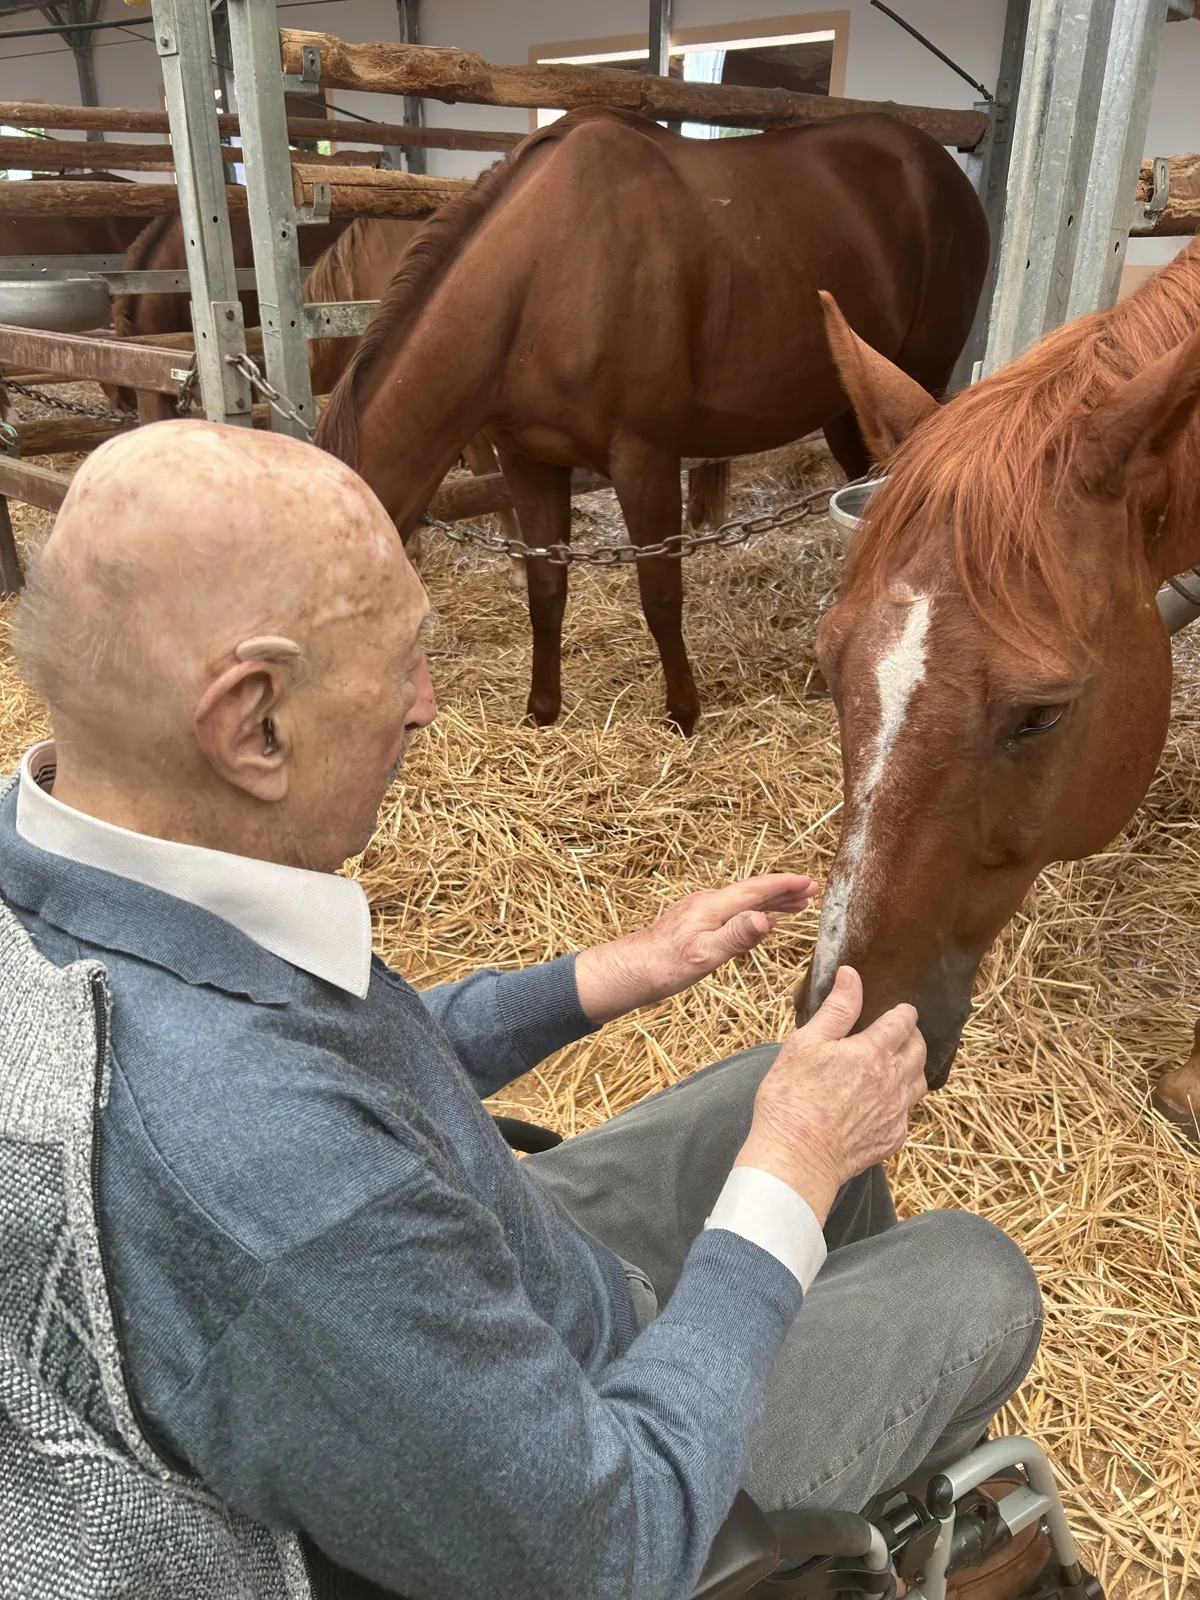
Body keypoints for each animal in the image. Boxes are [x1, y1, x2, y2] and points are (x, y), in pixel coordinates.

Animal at [314, 106, 988, 734]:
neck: (541, 276)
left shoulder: (644, 459)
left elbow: (660, 594)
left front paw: (683, 713)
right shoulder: (529, 461)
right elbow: (545, 589)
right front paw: (542, 712)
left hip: (916, 383)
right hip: (850, 406)